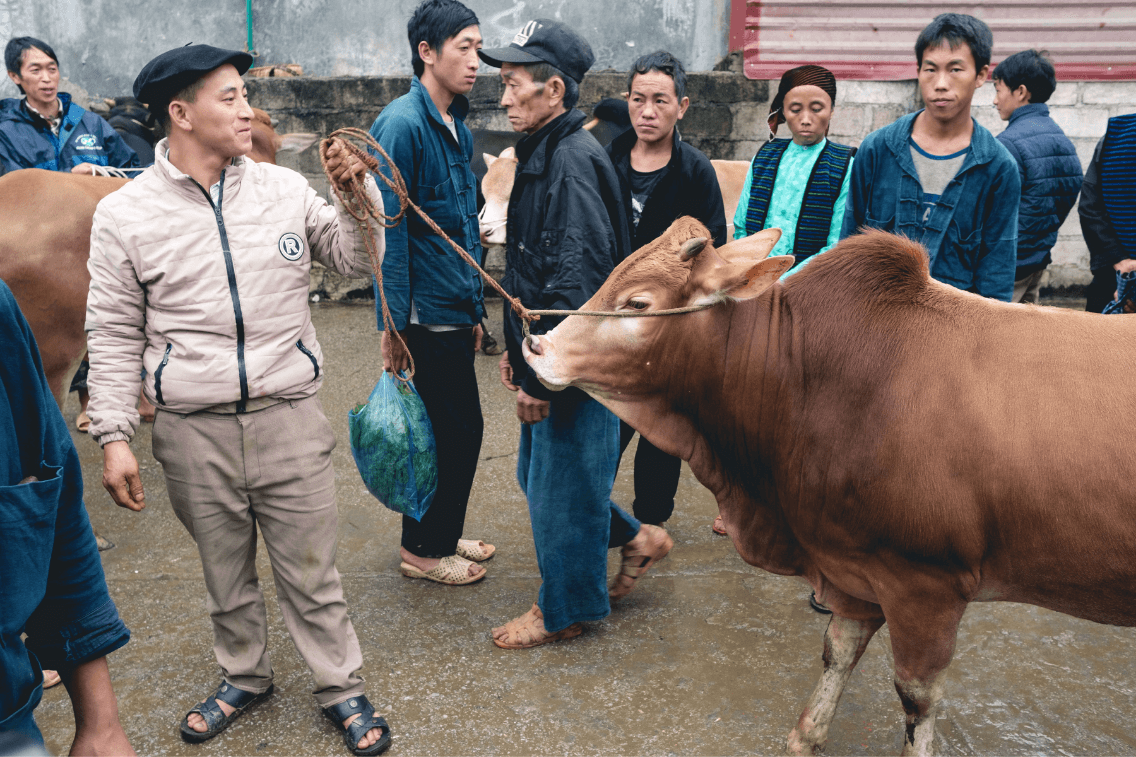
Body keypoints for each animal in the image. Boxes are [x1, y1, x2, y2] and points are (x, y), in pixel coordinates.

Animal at [520, 213, 1136, 754]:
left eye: (637, 304)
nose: (536, 345)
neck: (807, 377)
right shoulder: (854, 562)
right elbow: (837, 652)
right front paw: (806, 736)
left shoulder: (927, 586)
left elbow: (916, 698)